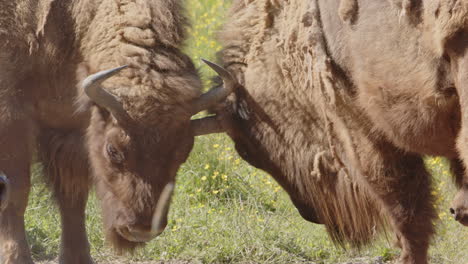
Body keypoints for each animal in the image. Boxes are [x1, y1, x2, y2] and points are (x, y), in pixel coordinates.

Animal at [0, 0, 227, 264]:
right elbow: (17, 192)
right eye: (113, 150)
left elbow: (73, 195)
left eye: (183, 153)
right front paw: (17, 258)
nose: (141, 230)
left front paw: (78, 257)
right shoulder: (12, 118)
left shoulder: (72, 124)